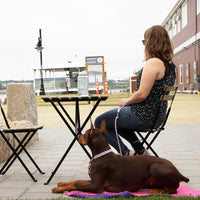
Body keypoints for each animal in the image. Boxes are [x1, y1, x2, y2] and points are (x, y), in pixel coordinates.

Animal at [52, 118, 189, 195]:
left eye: (85, 134)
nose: (78, 135)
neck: (101, 155)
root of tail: (178, 172)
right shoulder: (92, 180)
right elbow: (76, 181)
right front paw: (62, 184)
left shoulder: (96, 186)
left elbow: (77, 185)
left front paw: (58, 189)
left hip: (155, 167)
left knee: (172, 190)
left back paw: (158, 192)